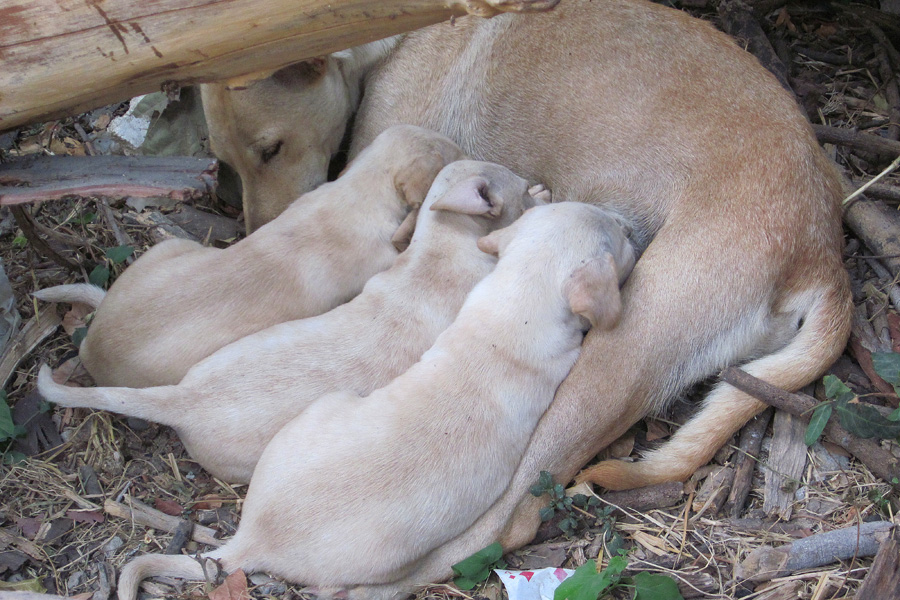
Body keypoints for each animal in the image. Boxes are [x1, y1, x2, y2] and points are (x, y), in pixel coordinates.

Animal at [202, 0, 852, 592]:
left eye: (271, 148)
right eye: (227, 161)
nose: (258, 229)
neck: (391, 31)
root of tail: (824, 256)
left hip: (609, 360)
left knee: (508, 521)